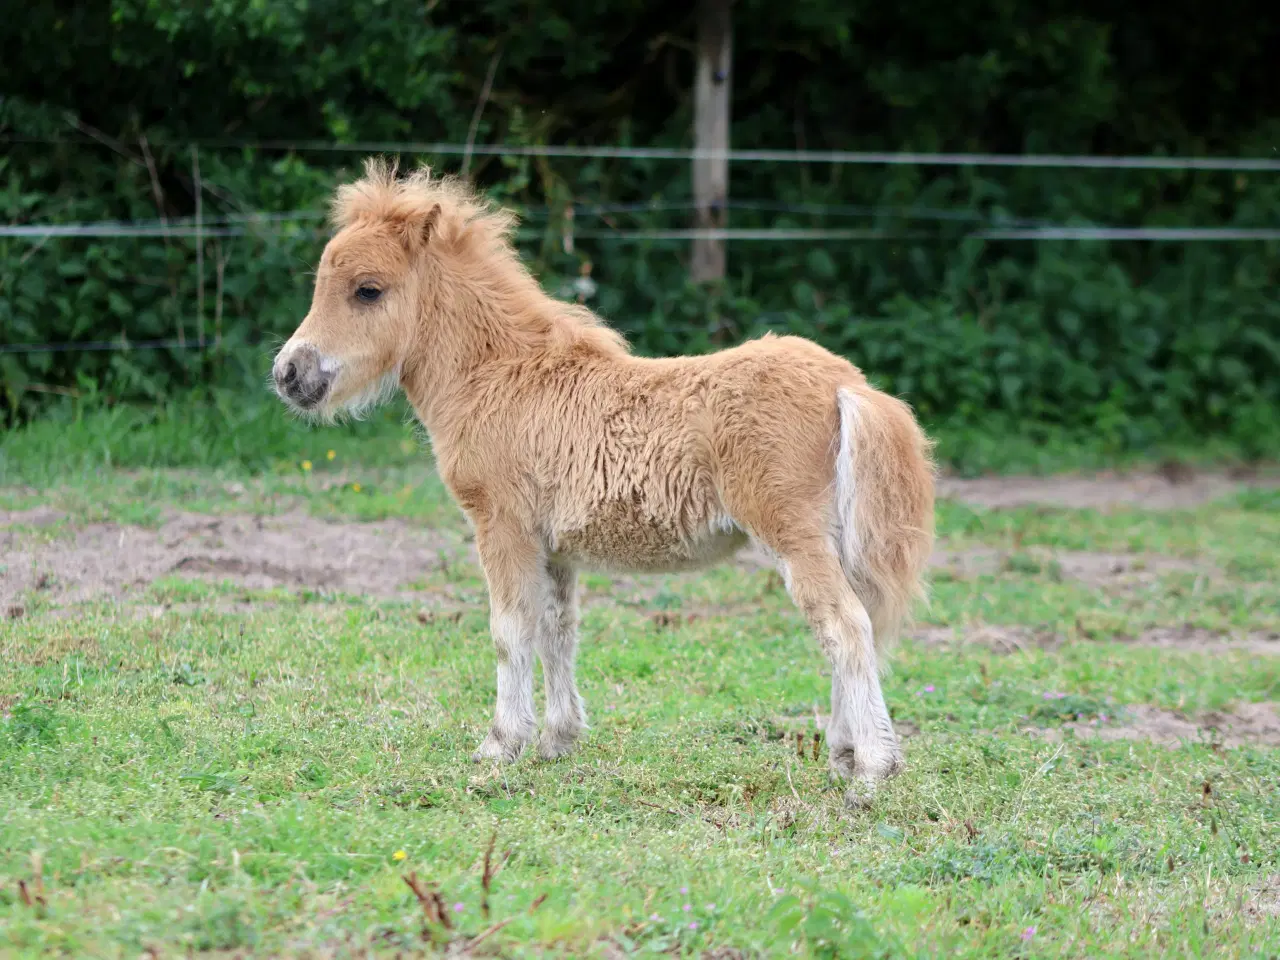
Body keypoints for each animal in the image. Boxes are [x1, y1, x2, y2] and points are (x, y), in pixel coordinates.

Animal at [275, 160, 936, 803]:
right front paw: (557, 741)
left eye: (368, 290)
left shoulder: (501, 525)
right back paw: (844, 755)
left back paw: (872, 771)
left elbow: (508, 631)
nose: (288, 373)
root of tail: (847, 384)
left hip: (793, 534)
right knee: (855, 623)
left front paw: (498, 747)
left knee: (845, 626)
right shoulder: (555, 547)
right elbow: (556, 630)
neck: (499, 377)